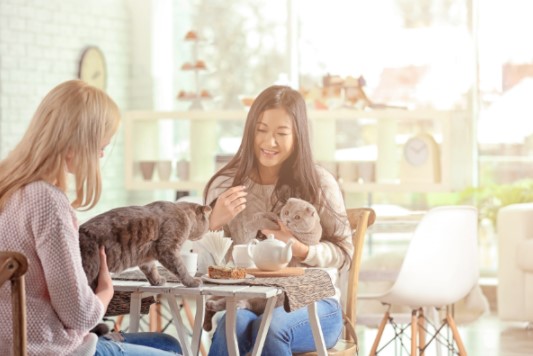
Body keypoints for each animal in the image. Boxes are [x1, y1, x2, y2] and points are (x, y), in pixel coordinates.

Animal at [203, 197, 320, 330]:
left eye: (297, 217)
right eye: (286, 212)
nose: (288, 220)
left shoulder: (281, 230)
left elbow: (267, 223)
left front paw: (254, 221)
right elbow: (270, 216)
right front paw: (262, 215)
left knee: (236, 303)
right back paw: (207, 322)